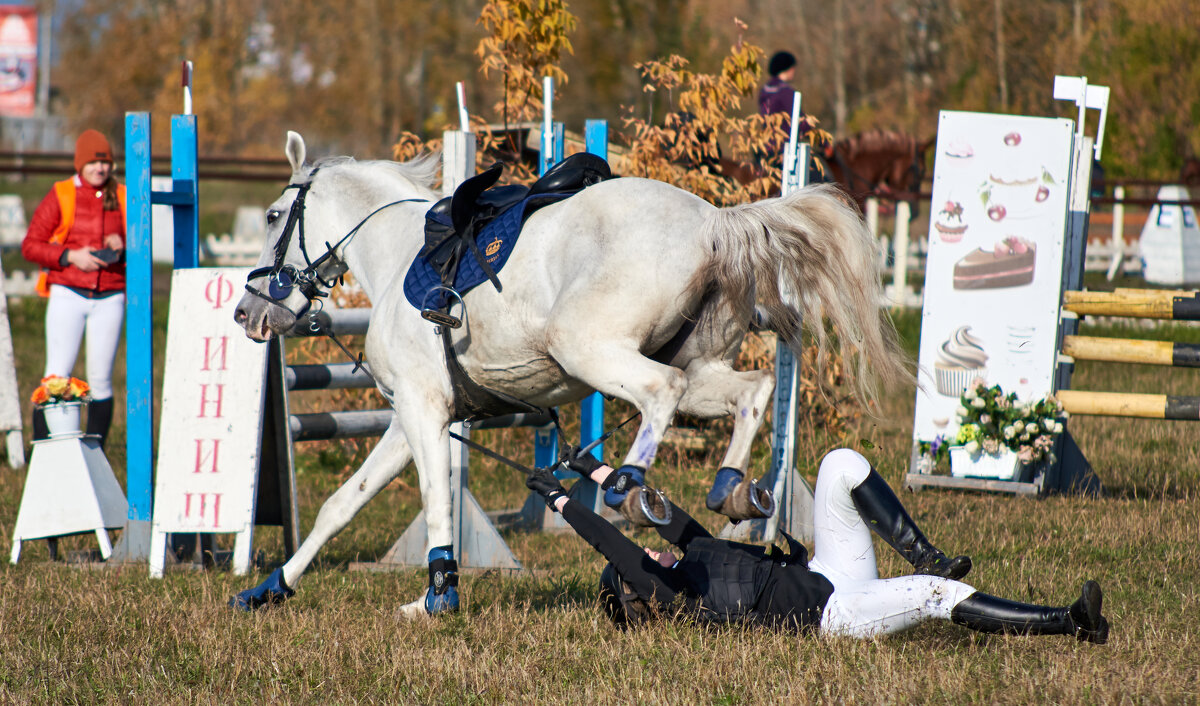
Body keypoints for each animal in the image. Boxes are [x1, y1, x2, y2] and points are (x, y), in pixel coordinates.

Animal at [226, 133, 907, 619]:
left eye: (273, 215)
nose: (248, 314)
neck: (395, 257)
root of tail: (714, 223)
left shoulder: (424, 410)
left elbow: (436, 500)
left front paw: (437, 596)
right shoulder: (407, 418)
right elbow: (341, 505)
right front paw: (270, 588)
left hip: (588, 348)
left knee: (662, 393)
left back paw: (629, 487)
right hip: (700, 364)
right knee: (753, 390)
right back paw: (733, 490)